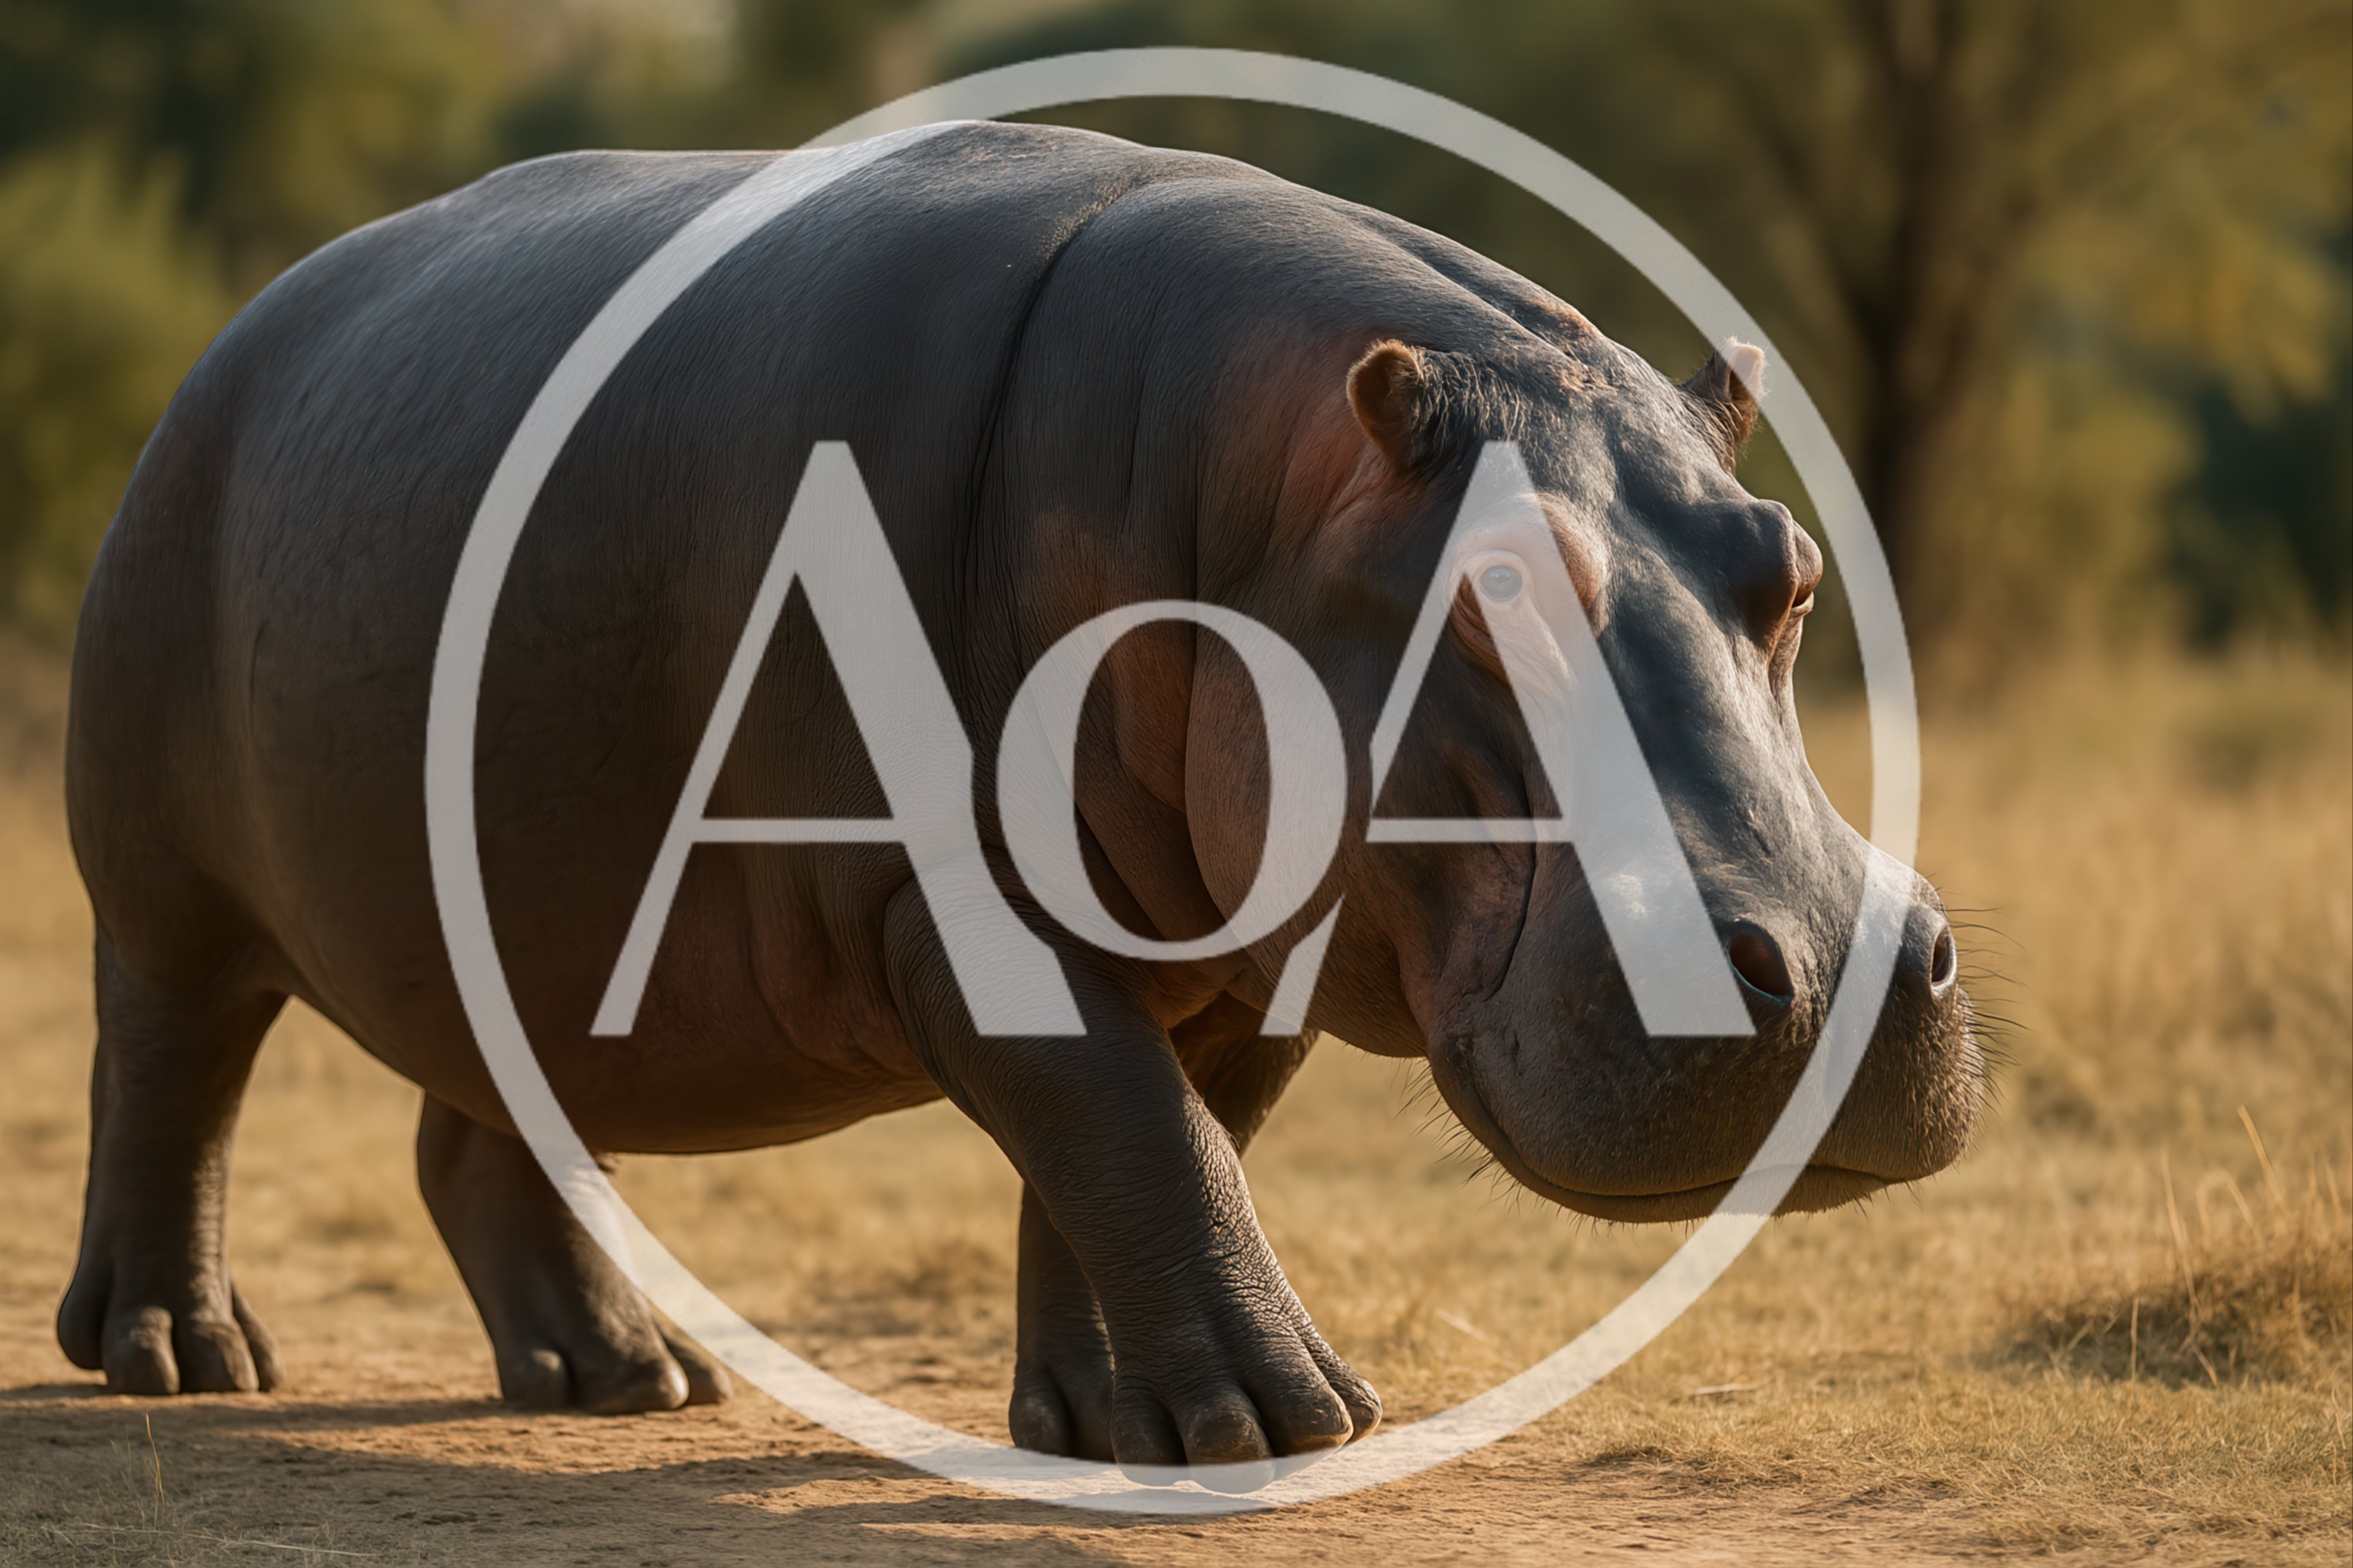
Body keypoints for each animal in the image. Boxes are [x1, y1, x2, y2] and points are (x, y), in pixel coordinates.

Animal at [58, 121, 1981, 1470]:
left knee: (483, 1128)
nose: (1837, 968)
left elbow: (1144, 1141)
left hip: (524, 935)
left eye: (1788, 568)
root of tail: (234, 334)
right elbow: (1129, 1125)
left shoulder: (1242, 933)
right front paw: (1301, 1420)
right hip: (158, 875)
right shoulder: (952, 902)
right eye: (1484, 589)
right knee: (169, 1073)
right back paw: (179, 1358)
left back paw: (624, 1381)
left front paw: (1132, 1426)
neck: (1234, 491)